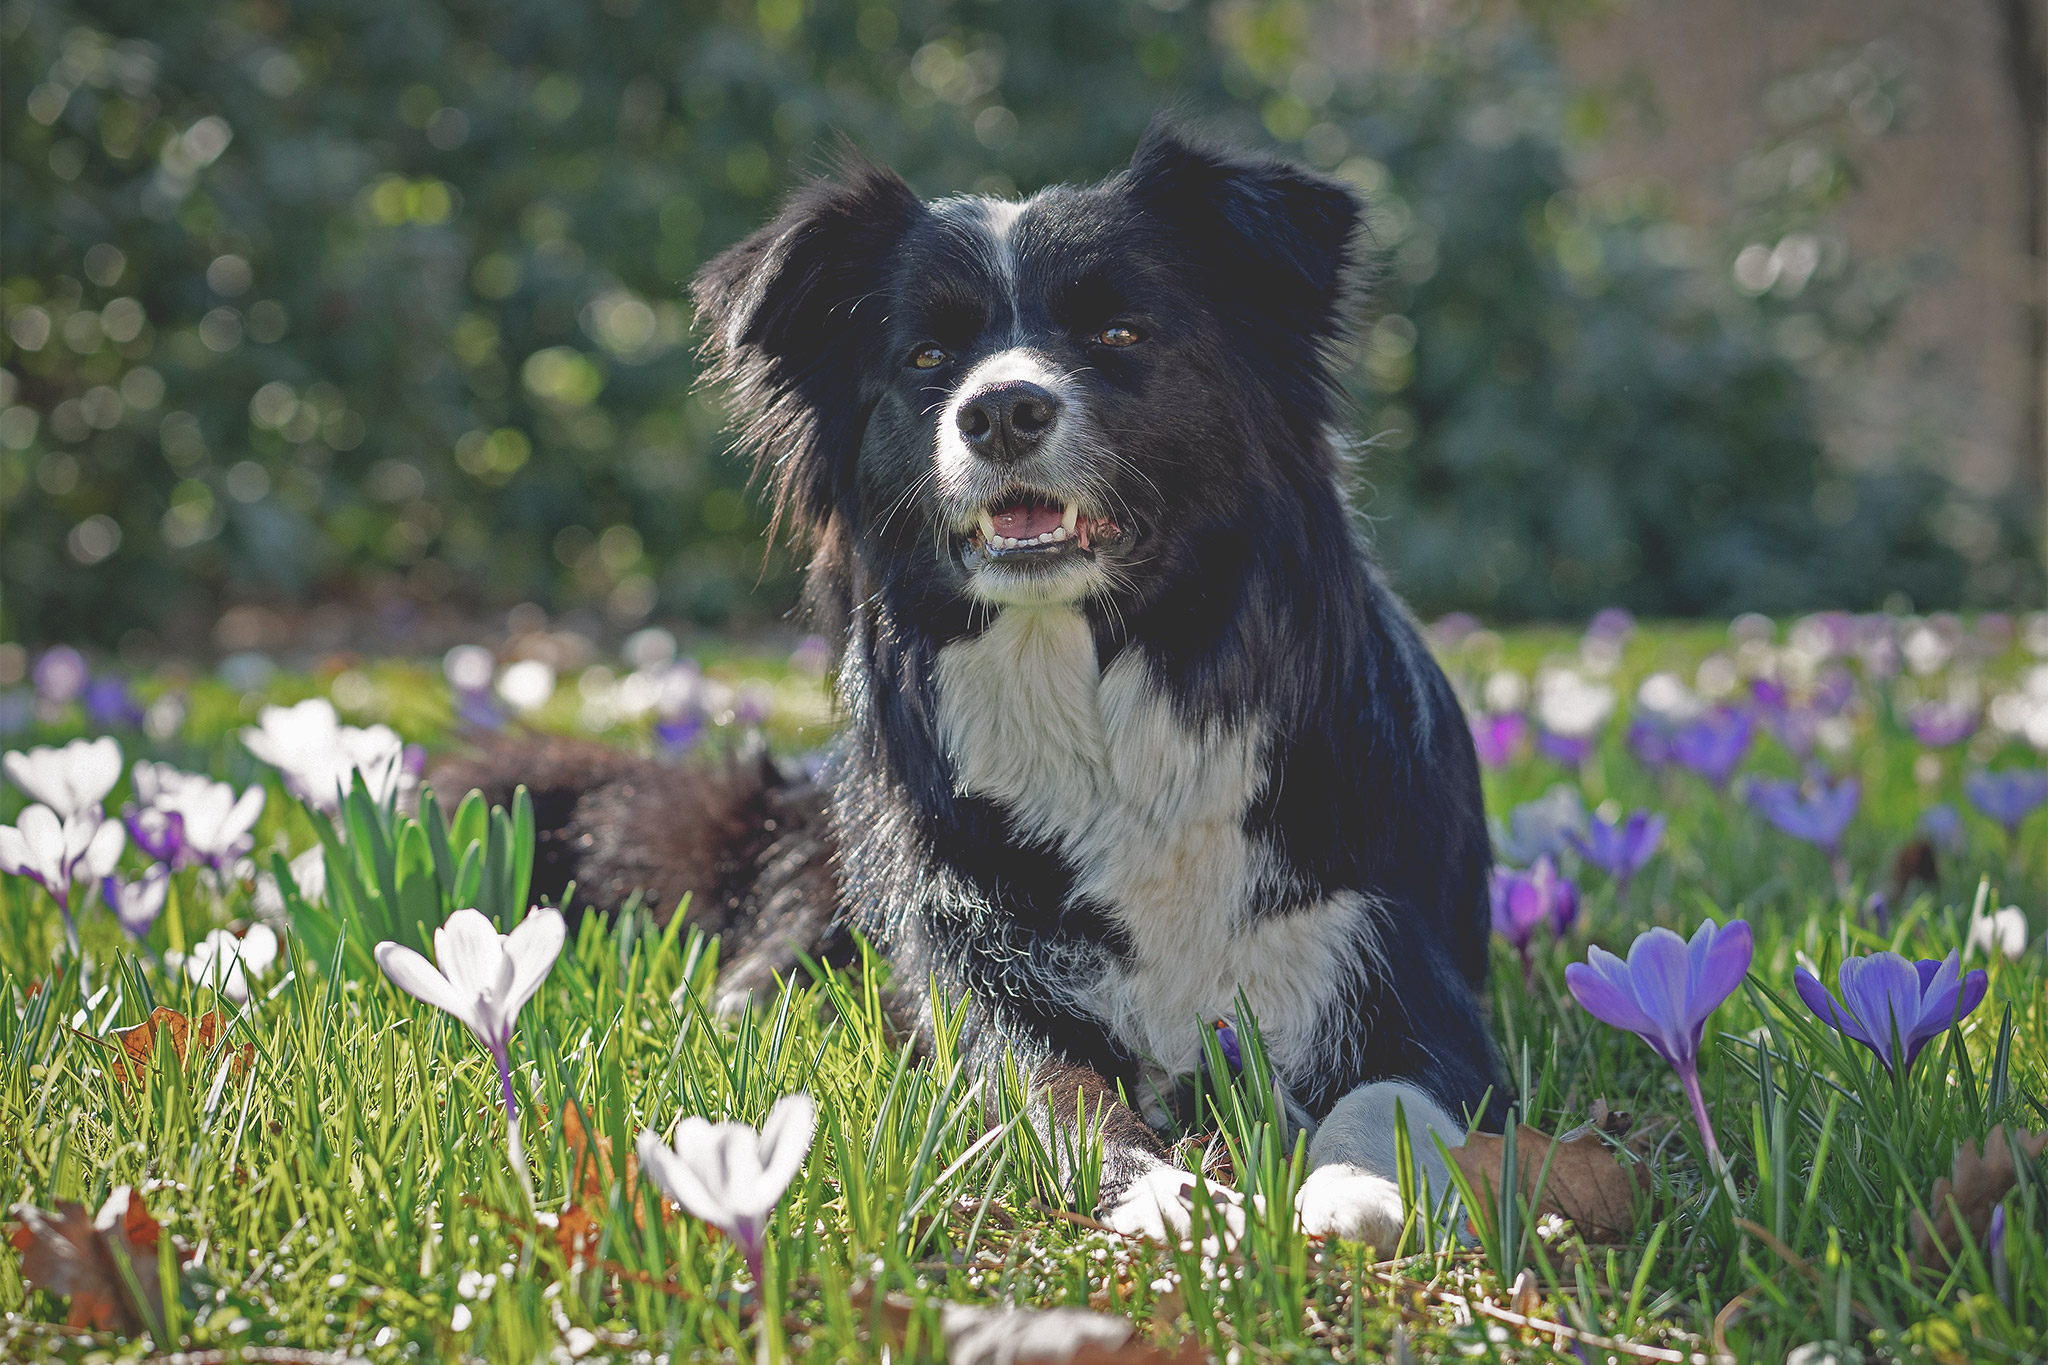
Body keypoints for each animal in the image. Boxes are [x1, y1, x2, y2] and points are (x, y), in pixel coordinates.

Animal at [448, 122, 1507, 1244]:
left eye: (1119, 331)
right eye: (926, 355)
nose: (1000, 411)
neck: (1096, 689)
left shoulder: (1399, 961)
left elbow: (1388, 1095)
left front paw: (1358, 1188)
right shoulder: (977, 973)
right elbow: (1056, 1096)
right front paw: (1169, 1198)